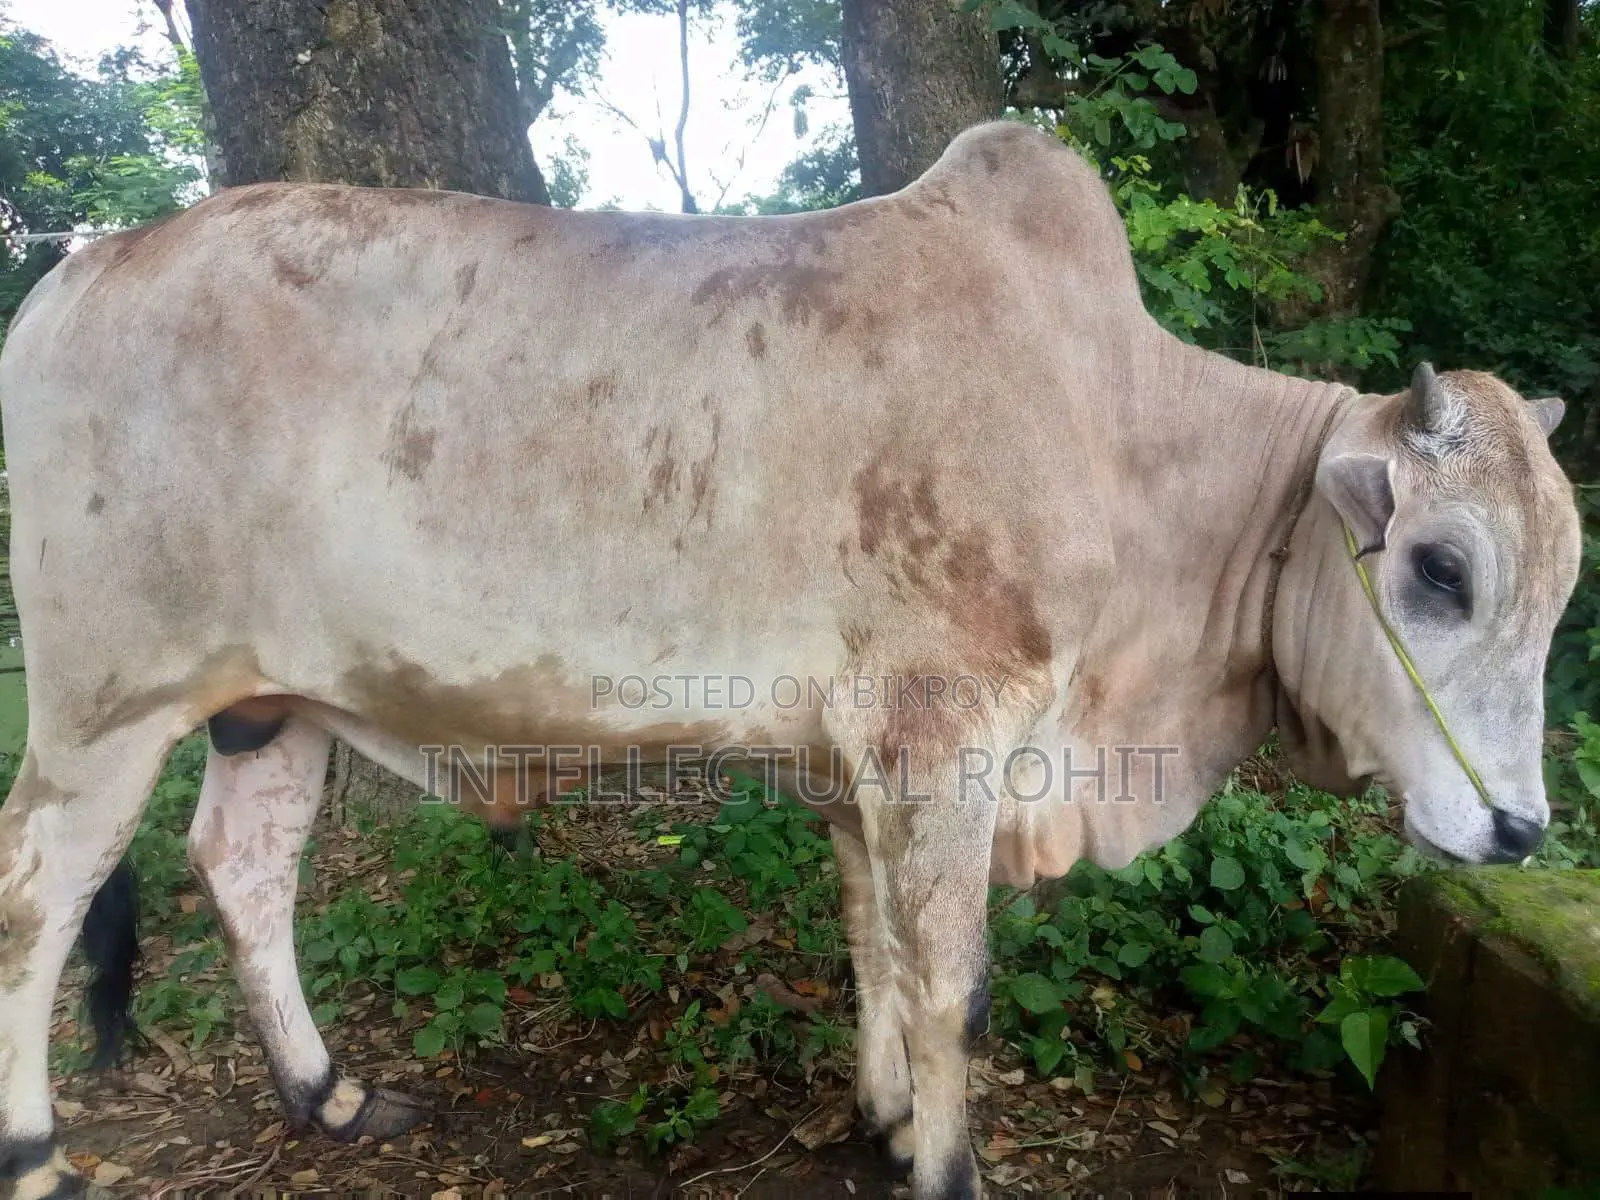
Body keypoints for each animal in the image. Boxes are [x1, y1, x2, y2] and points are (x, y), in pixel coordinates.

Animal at [0, 118, 1580, 1200]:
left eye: (1562, 586)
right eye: (1442, 569)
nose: (1518, 830)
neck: (1117, 435)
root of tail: (85, 261)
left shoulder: (857, 759)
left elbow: (871, 932)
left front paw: (887, 1116)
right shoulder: (947, 737)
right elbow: (951, 983)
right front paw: (947, 1163)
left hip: (266, 704)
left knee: (242, 866)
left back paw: (324, 1094)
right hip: (101, 706)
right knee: (34, 895)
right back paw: (37, 1148)